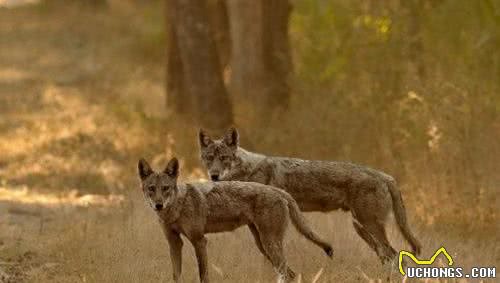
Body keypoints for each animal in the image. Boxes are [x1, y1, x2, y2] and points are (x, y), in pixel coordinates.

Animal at [137, 158, 332, 283]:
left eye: (165, 188)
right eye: (151, 189)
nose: (158, 205)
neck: (176, 208)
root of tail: (279, 191)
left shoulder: (199, 241)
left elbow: (203, 275)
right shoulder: (174, 243)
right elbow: (176, 275)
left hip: (269, 244)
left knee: (287, 273)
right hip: (263, 245)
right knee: (290, 274)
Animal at [197, 127, 420, 266]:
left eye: (224, 158)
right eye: (209, 158)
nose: (214, 175)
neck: (245, 169)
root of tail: (384, 175)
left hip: (369, 226)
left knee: (394, 255)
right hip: (362, 229)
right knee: (388, 256)